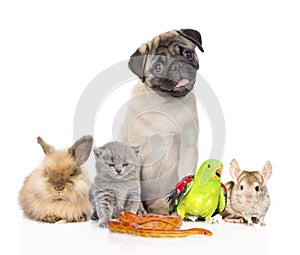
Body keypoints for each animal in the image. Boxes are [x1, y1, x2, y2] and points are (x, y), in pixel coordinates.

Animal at [120, 28, 204, 214]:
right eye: (157, 68)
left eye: (188, 54)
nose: (177, 65)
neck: (165, 103)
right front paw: (138, 211)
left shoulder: (188, 150)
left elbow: (185, 178)